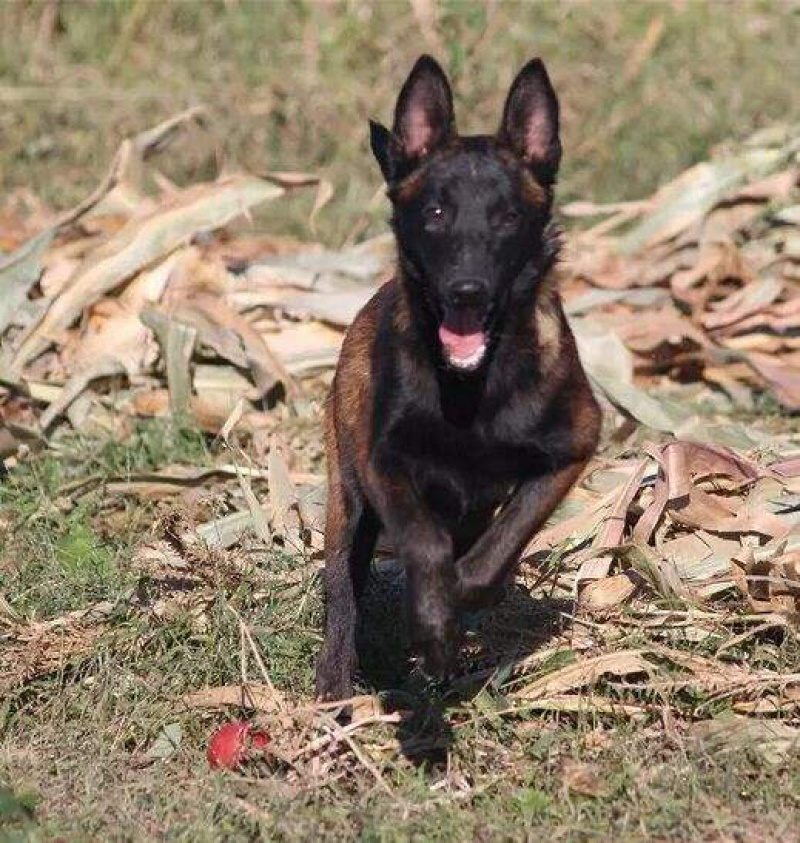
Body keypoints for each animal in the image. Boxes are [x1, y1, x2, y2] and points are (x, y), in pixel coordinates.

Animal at [316, 49, 596, 704]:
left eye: (508, 217)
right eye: (437, 213)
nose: (467, 291)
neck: (472, 391)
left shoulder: (571, 450)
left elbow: (495, 555)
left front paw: (449, 618)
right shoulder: (383, 461)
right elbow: (422, 544)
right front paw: (432, 623)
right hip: (348, 494)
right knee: (342, 585)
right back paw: (336, 685)